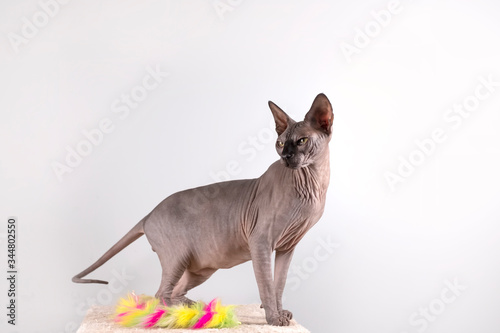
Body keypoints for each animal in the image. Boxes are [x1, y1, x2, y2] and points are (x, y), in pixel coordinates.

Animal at [72, 92, 334, 326]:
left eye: (301, 141)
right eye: (280, 144)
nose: (286, 157)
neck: (311, 186)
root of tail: (149, 214)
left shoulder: (287, 247)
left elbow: (279, 284)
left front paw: (281, 313)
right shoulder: (261, 243)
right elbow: (267, 286)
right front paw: (273, 319)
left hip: (202, 268)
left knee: (173, 291)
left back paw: (193, 309)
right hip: (178, 257)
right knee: (160, 294)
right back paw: (176, 318)